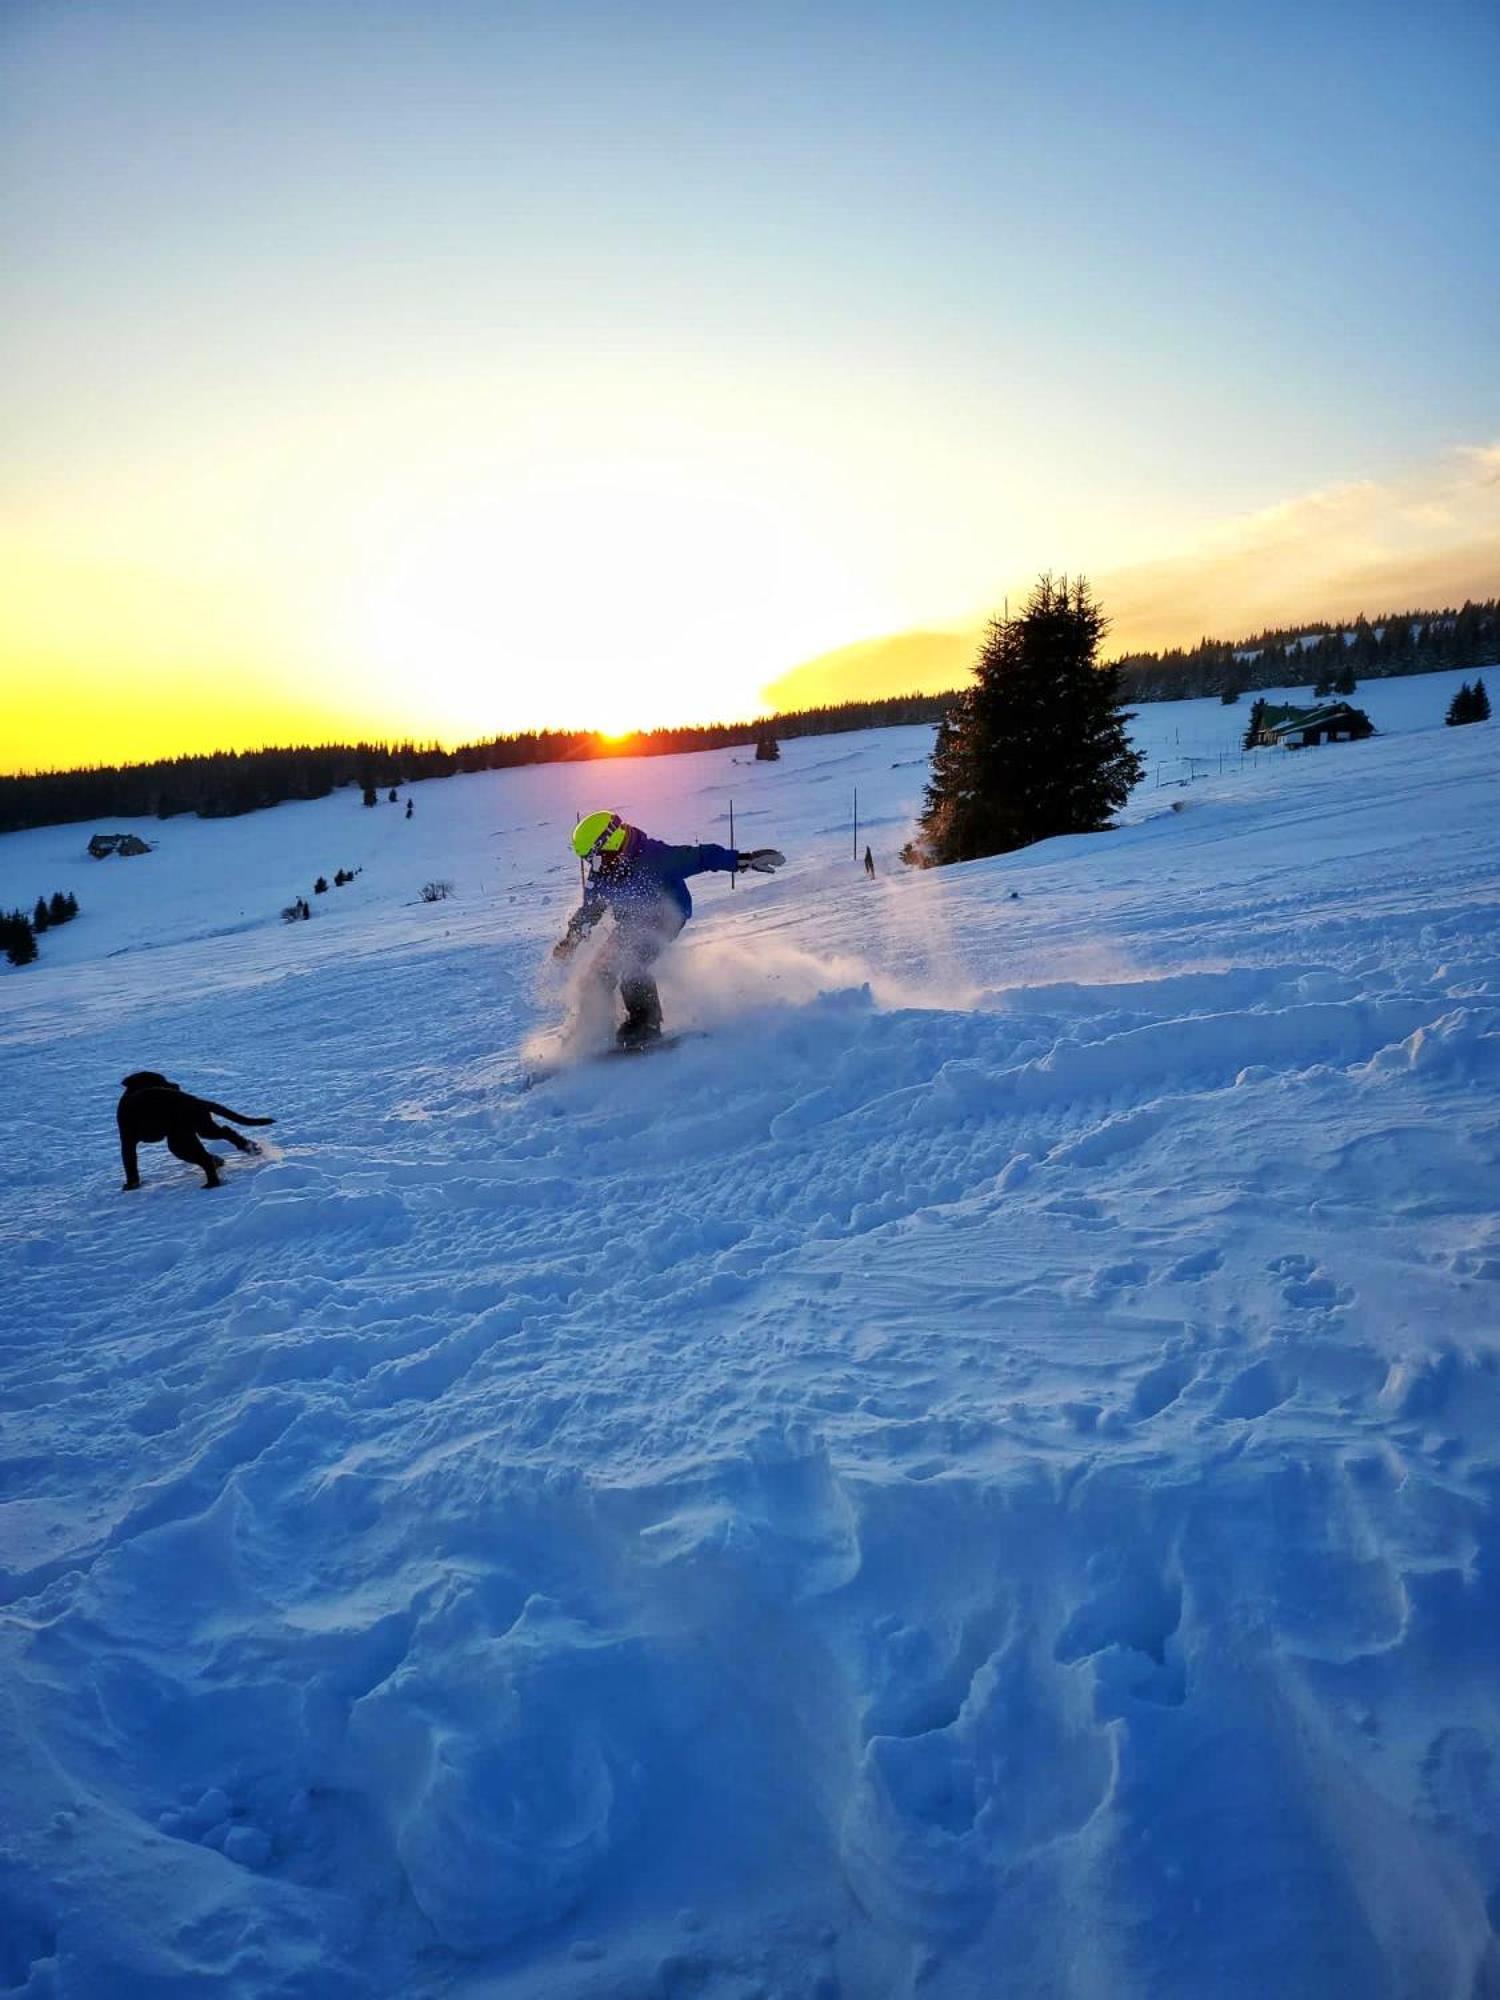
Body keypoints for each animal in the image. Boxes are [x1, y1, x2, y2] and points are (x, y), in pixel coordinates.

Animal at [117, 1072, 276, 1192]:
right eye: (161, 1080)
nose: (176, 1085)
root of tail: (196, 1100)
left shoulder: (127, 1141)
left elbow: (130, 1164)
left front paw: (131, 1185)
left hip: (180, 1141)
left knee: (206, 1159)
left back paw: (212, 1183)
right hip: (201, 1129)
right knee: (225, 1132)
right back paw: (248, 1148)